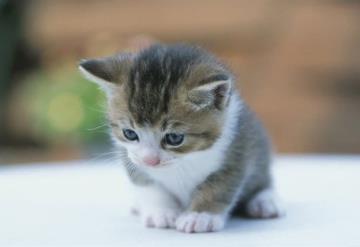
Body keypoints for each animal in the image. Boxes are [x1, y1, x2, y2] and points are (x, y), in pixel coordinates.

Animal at [79, 43, 284, 233]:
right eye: (130, 134)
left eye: (174, 138)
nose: (150, 161)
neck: (184, 160)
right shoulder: (129, 156)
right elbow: (148, 184)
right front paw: (161, 212)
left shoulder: (237, 148)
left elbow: (219, 185)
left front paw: (200, 216)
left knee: (263, 181)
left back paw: (264, 201)